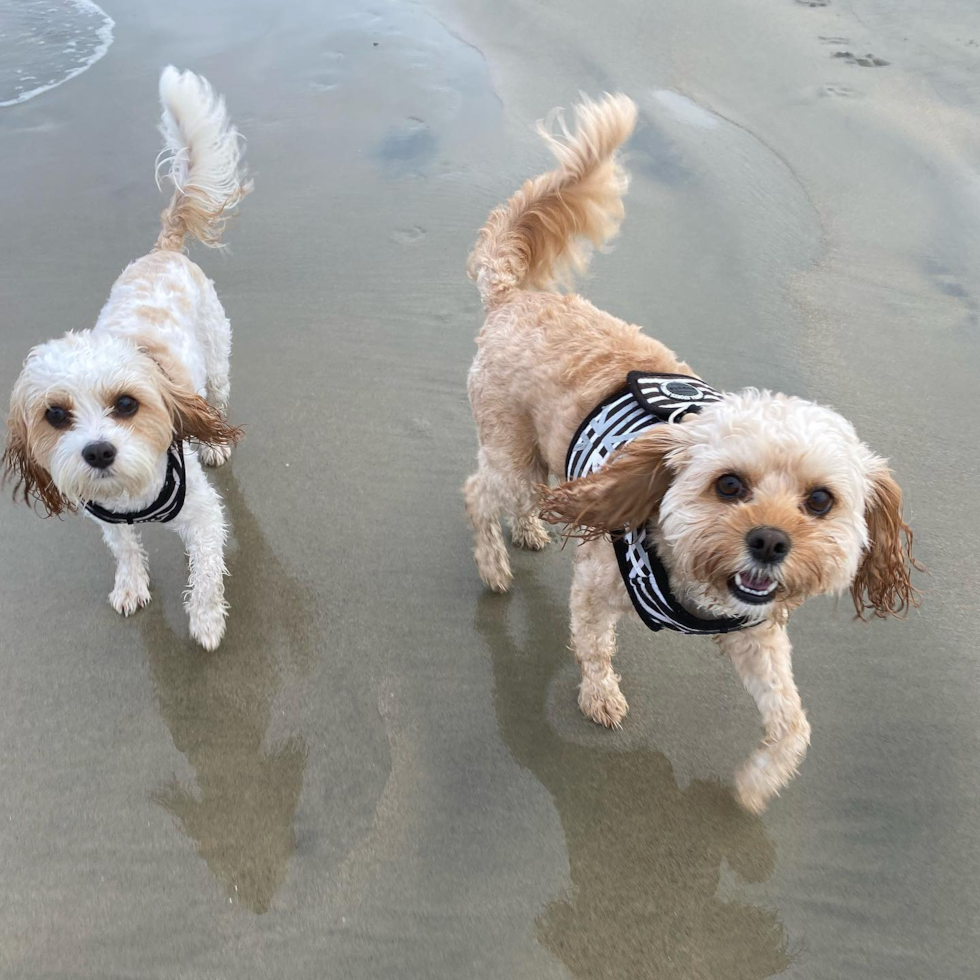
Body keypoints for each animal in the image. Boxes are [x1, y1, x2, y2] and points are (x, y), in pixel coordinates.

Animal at [464, 94, 916, 812]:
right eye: (728, 485)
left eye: (820, 500)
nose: (770, 541)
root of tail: (516, 296)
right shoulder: (597, 587)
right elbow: (593, 646)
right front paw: (600, 696)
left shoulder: (755, 633)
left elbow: (793, 723)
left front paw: (758, 784)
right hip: (512, 451)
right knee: (479, 494)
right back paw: (493, 564)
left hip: (538, 459)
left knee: (524, 497)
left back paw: (531, 529)